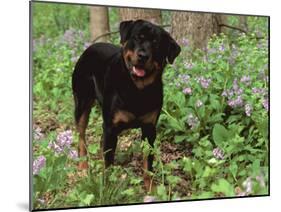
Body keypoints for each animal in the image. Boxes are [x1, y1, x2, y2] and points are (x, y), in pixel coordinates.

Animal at [72, 19, 180, 190]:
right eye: (137, 37)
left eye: (156, 44)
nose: (143, 55)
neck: (137, 89)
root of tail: (88, 48)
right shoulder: (111, 127)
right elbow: (108, 163)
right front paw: (107, 187)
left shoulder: (149, 129)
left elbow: (147, 163)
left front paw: (150, 189)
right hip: (82, 103)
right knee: (81, 137)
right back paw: (83, 167)